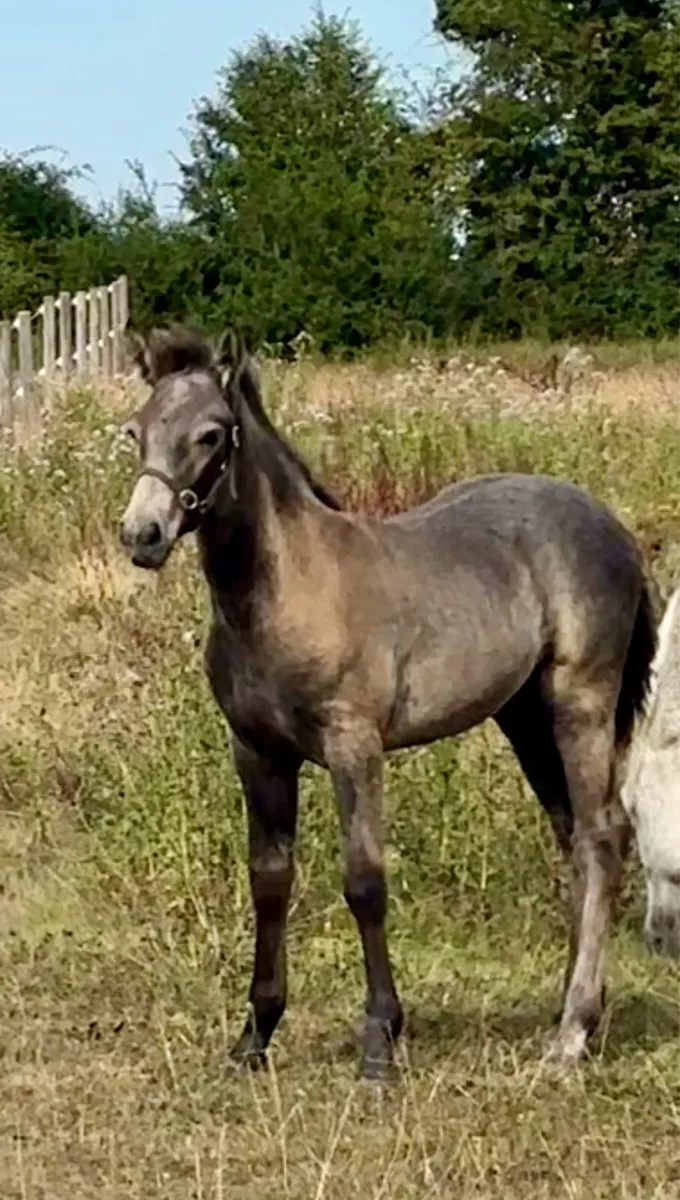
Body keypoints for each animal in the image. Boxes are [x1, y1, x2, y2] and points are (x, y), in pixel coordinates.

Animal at [118, 325, 656, 1081]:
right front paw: (254, 1036)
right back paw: (578, 1009)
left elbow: (364, 880)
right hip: (523, 717)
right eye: (134, 431)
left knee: (603, 833)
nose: (142, 535)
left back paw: (571, 1035)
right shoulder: (257, 752)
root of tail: (612, 527)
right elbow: (269, 880)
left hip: (580, 701)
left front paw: (380, 1040)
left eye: (211, 434)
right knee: (573, 835)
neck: (286, 589)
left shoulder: (354, 745)